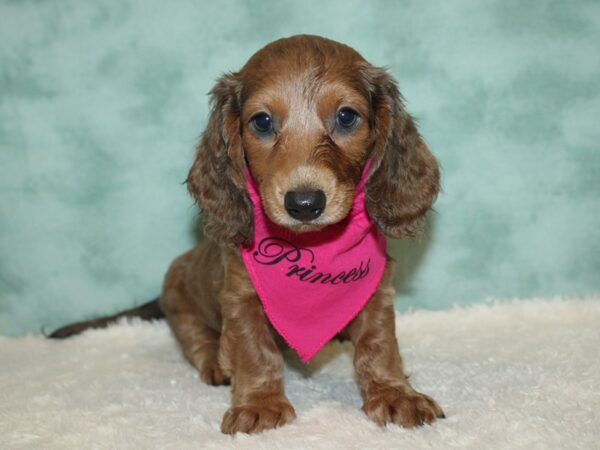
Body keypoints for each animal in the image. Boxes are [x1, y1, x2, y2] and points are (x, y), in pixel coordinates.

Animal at [51, 33, 442, 434]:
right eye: (263, 121)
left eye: (346, 117)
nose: (304, 203)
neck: (311, 245)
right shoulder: (239, 297)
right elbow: (254, 350)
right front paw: (260, 404)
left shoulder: (377, 292)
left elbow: (379, 344)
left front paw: (395, 393)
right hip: (179, 300)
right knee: (196, 338)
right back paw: (215, 361)